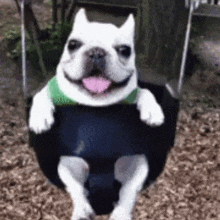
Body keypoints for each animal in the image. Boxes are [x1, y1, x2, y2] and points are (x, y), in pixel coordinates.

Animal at [28, 7, 163, 219]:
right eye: (73, 44)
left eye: (125, 50)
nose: (97, 52)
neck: (95, 103)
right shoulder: (52, 90)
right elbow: (41, 94)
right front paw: (40, 118)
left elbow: (145, 91)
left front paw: (153, 111)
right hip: (67, 166)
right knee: (77, 188)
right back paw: (82, 209)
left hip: (138, 165)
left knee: (128, 190)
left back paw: (120, 213)